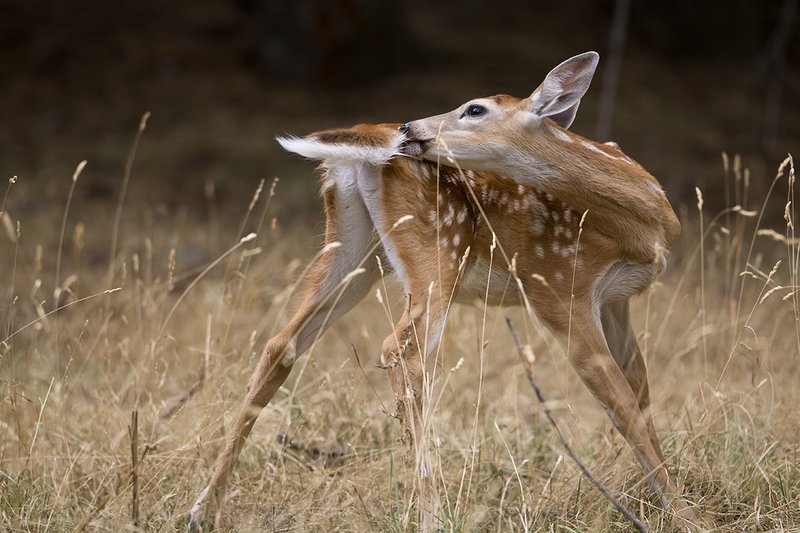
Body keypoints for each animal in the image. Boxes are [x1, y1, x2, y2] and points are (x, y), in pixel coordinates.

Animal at [189, 52, 701, 531]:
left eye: (475, 108)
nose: (410, 127)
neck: (643, 227)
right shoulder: (559, 288)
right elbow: (622, 405)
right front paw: (685, 516)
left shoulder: (616, 300)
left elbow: (642, 394)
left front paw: (661, 499)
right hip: (436, 251)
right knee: (401, 349)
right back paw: (430, 515)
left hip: (355, 251)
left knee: (282, 342)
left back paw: (203, 509)